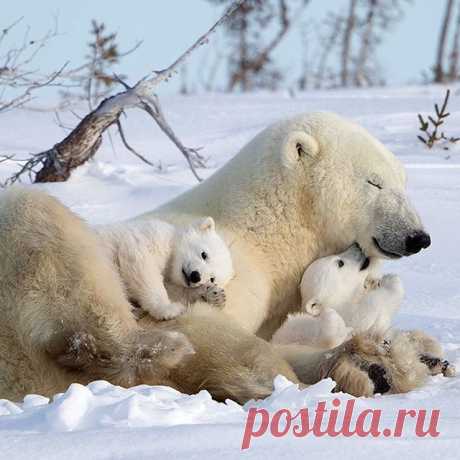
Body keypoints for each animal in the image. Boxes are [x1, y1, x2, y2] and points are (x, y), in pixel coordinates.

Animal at [0, 112, 430, 402]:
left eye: (404, 181)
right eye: (374, 182)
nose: (418, 237)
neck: (266, 227)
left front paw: (378, 361)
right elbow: (210, 329)